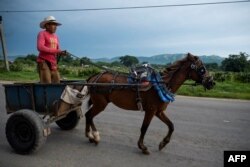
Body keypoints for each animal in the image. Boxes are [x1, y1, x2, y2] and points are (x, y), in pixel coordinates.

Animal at [85, 52, 214, 155]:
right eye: (202, 68)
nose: (212, 82)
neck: (161, 84)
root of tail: (94, 77)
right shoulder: (151, 111)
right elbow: (144, 128)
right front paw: (142, 147)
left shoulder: (159, 112)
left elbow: (171, 126)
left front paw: (163, 143)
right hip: (100, 104)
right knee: (90, 116)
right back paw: (95, 136)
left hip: (99, 104)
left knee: (87, 115)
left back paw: (90, 136)